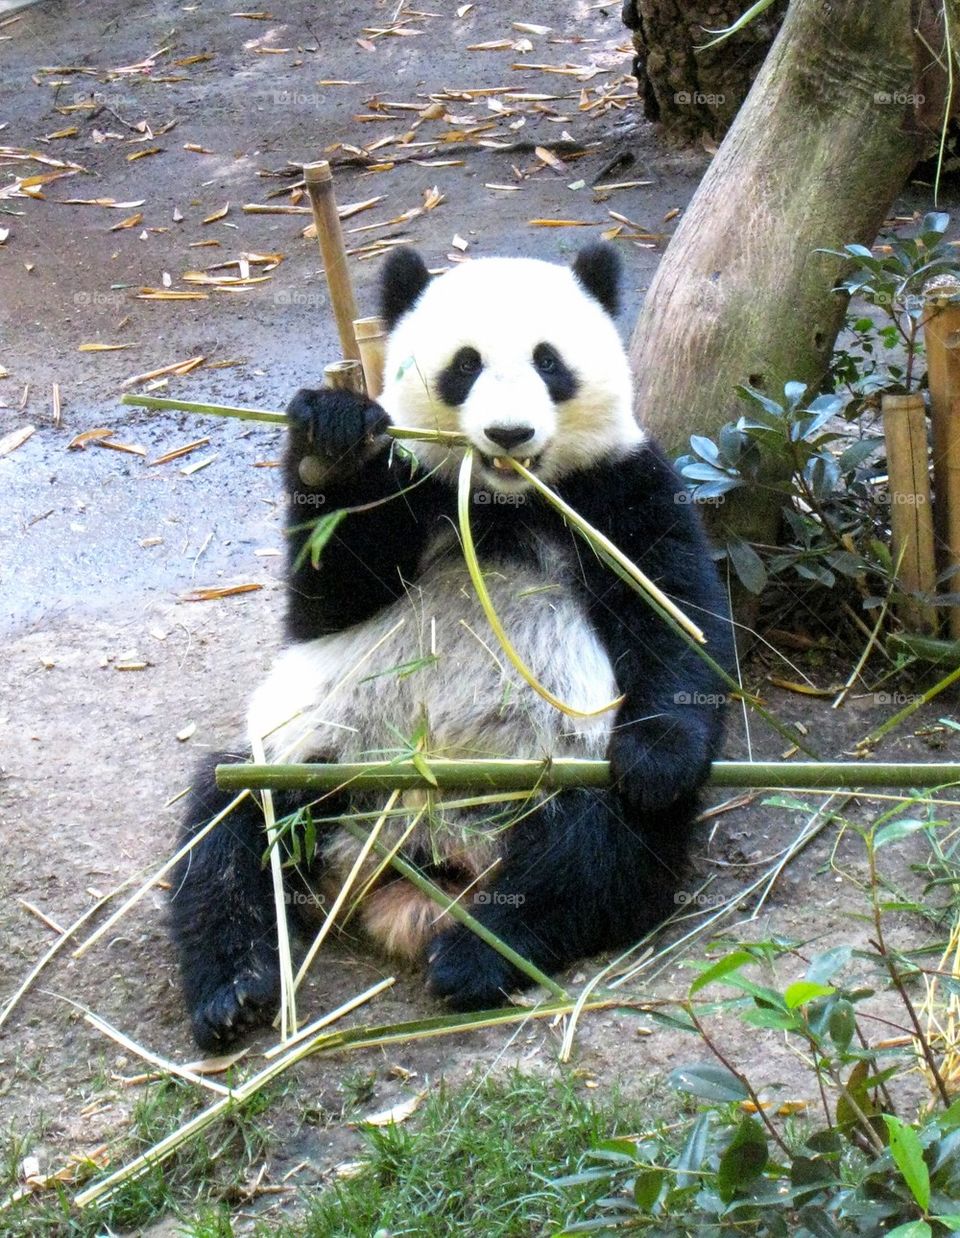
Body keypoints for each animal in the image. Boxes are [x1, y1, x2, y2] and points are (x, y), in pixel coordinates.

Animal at [168, 243, 733, 1044]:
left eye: (549, 363)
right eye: (464, 366)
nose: (509, 435)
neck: (498, 502)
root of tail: (425, 859)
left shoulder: (620, 486)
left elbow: (676, 620)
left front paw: (656, 759)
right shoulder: (409, 487)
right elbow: (326, 600)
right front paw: (329, 446)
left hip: (556, 773)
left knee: (597, 853)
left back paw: (479, 956)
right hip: (316, 760)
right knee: (232, 830)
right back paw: (235, 989)